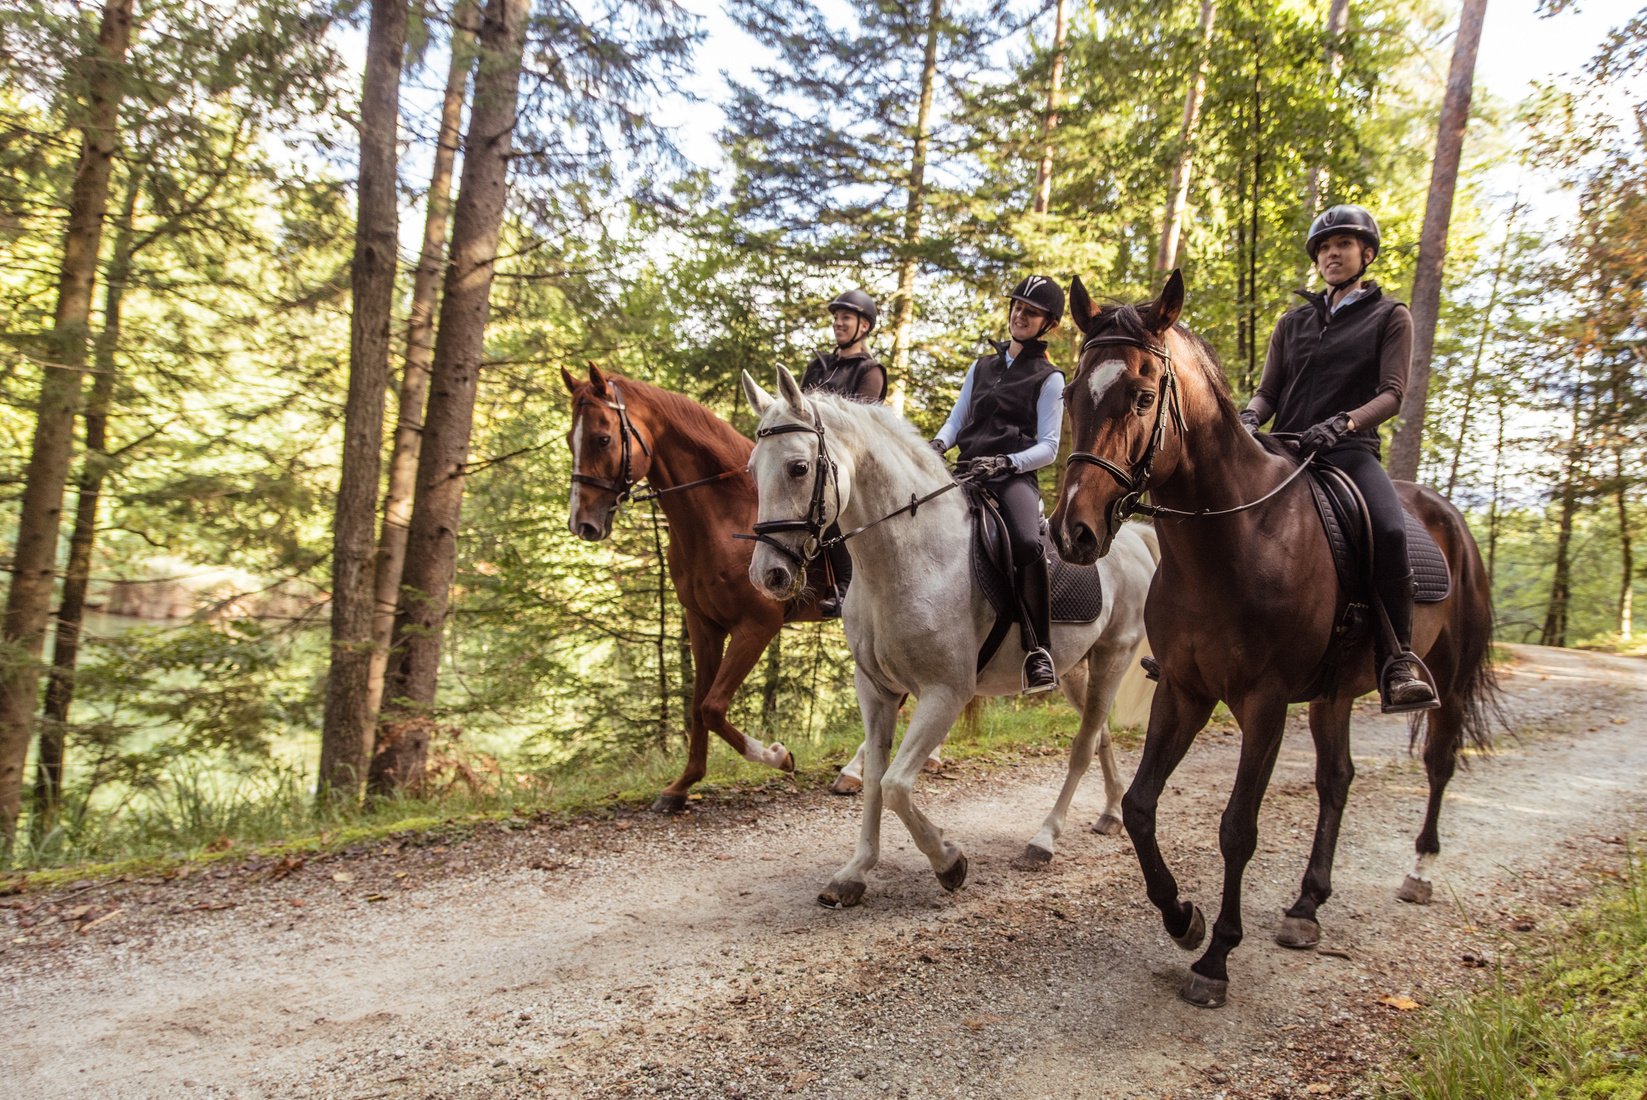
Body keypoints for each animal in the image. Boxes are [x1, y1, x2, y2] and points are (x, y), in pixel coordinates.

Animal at [741, 366, 1158, 907]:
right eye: (753, 470)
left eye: (797, 467)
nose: (766, 575)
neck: (909, 556)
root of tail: (1134, 538)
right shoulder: (875, 690)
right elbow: (875, 780)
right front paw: (855, 872)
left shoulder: (946, 693)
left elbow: (896, 784)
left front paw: (948, 861)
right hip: (1073, 670)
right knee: (1101, 733)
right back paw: (1109, 813)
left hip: (1113, 656)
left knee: (1083, 746)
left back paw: (1043, 840)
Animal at [1048, 271, 1499, 1008]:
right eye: (1070, 394)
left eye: (1142, 395)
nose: (1073, 532)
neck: (1235, 538)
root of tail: (1445, 513)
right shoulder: (1184, 689)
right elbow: (1141, 807)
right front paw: (1182, 917)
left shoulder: (1262, 704)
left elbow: (1237, 827)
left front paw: (1215, 959)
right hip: (1332, 696)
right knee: (1336, 780)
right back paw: (1306, 906)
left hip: (1448, 677)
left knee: (1438, 762)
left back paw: (1419, 870)